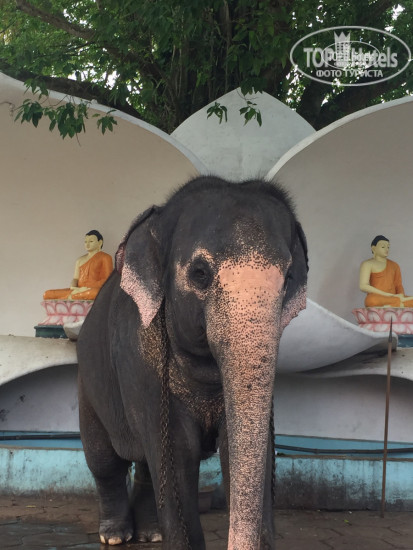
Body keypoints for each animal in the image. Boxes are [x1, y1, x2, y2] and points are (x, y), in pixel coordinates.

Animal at [77, 175, 308, 549]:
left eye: (288, 279)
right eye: (200, 274)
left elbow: (243, 447)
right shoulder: (143, 363)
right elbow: (176, 450)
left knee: (145, 465)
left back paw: (151, 533)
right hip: (87, 381)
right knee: (104, 461)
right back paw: (114, 535)